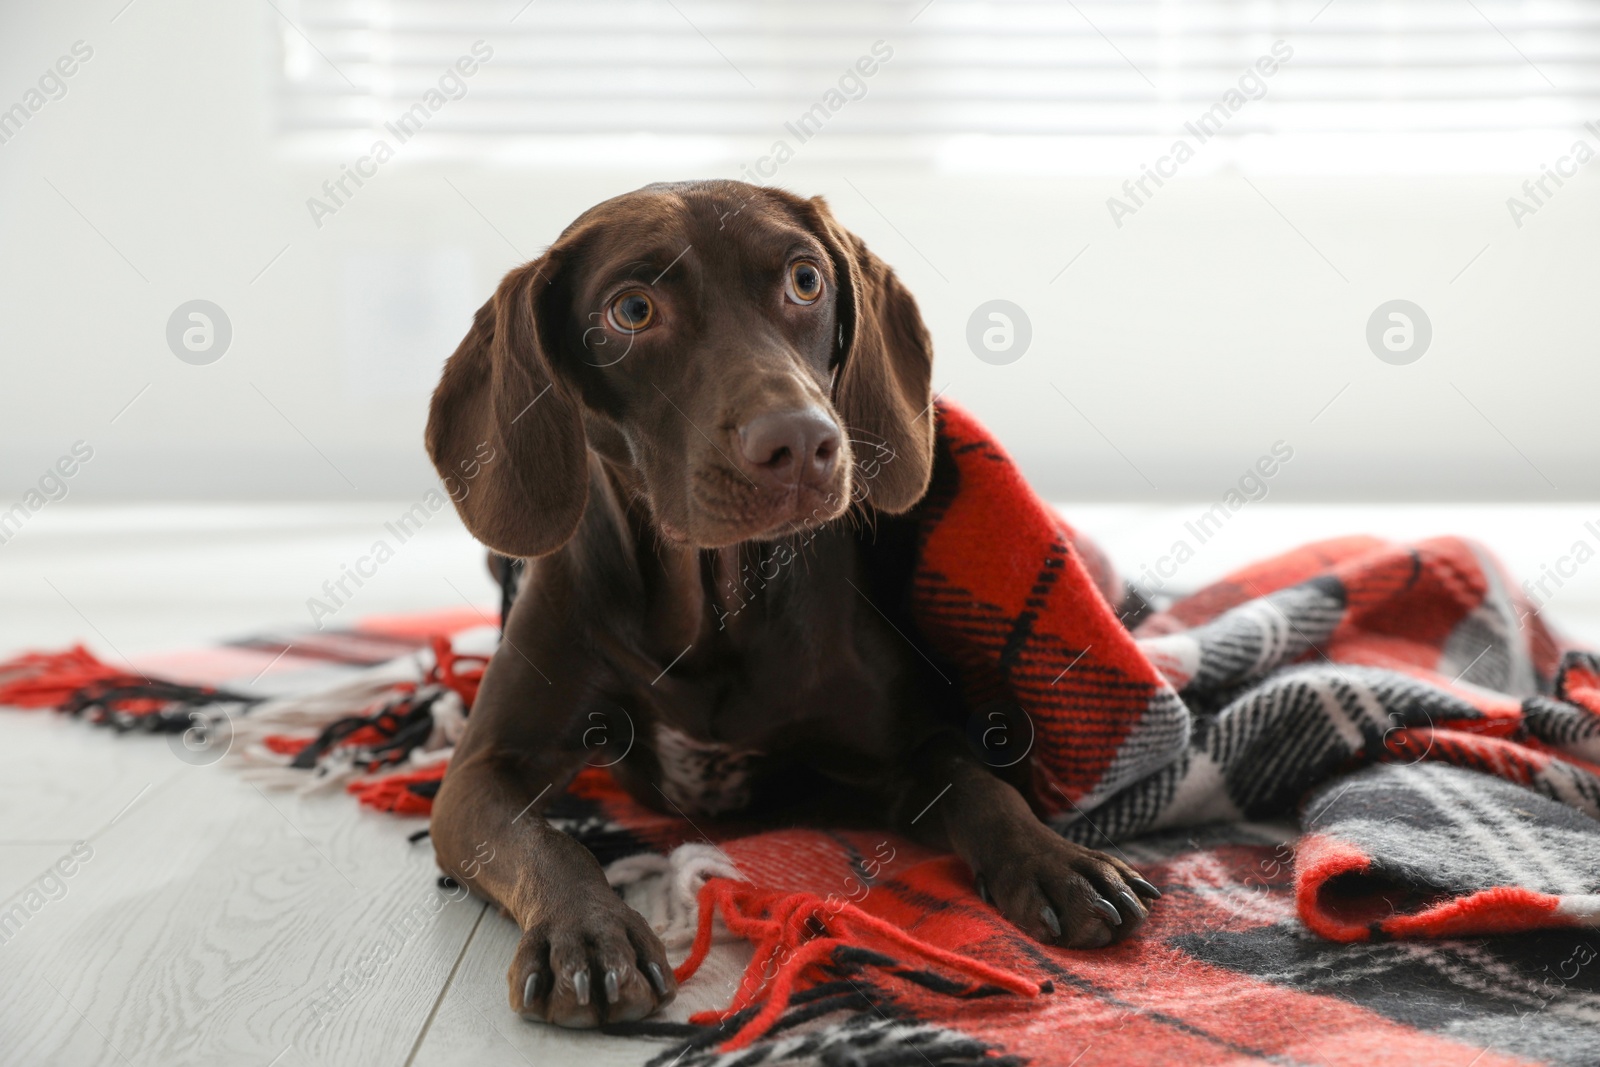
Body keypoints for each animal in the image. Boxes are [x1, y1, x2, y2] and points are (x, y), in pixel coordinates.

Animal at [419, 181, 1158, 1023]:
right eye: (632, 310)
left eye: (805, 281)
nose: (802, 443)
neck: (713, 603)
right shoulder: (483, 772)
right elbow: (548, 842)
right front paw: (587, 930)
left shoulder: (911, 746)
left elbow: (983, 785)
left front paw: (1055, 858)